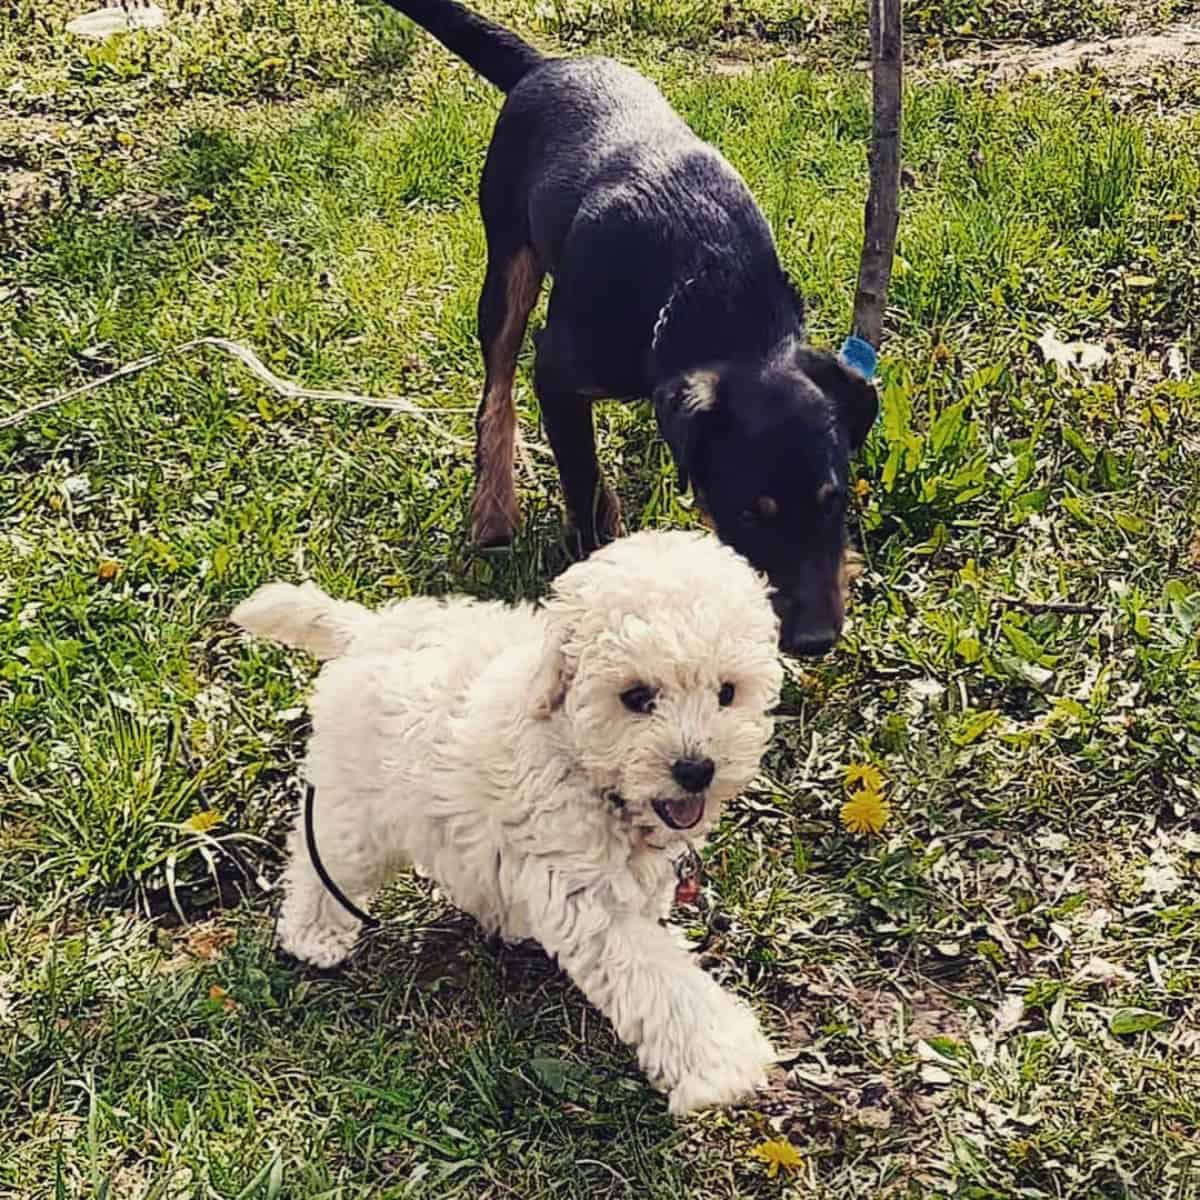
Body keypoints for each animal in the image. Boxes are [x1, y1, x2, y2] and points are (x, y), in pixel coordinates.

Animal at [230, 535, 782, 1113]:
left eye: (727, 693)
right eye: (636, 697)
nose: (696, 770)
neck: (578, 756)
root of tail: (367, 629)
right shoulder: (586, 895)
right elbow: (659, 978)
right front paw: (720, 1061)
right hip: (359, 803)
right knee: (324, 861)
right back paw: (314, 933)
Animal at [372, 0, 873, 657]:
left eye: (833, 500)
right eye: (748, 513)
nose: (816, 641)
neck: (710, 287)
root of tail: (545, 65)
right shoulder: (556, 373)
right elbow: (582, 478)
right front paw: (599, 563)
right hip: (508, 258)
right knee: (495, 387)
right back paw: (494, 511)